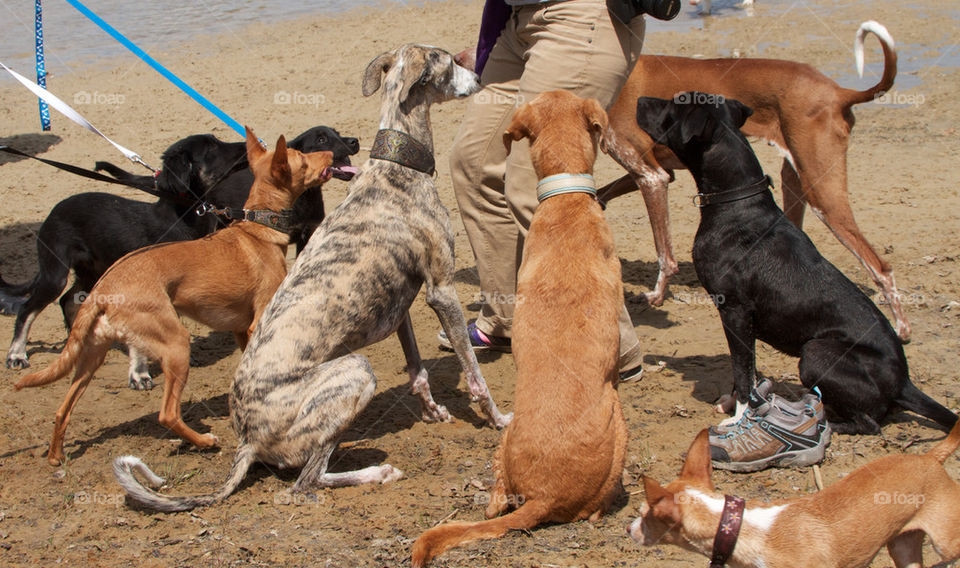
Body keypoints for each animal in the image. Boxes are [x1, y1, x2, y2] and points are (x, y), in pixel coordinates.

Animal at [12, 129, 338, 466]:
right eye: (302, 159)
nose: (331, 155)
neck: (256, 229)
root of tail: (104, 289)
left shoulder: (240, 329)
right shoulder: (257, 321)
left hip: (91, 356)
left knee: (63, 408)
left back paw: (56, 455)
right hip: (176, 343)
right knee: (167, 414)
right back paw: (204, 441)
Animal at [112, 44, 510, 512]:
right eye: (447, 60)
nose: (480, 76)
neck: (396, 169)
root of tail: (246, 439)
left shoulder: (403, 307)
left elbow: (418, 371)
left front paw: (434, 411)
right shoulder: (441, 290)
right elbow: (475, 375)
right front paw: (498, 418)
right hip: (356, 370)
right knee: (306, 482)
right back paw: (376, 472)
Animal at [632, 94, 956, 434]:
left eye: (674, 104)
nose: (640, 98)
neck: (736, 202)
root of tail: (903, 382)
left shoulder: (735, 310)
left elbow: (743, 370)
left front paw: (740, 415)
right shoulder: (742, 321)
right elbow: (748, 368)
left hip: (815, 352)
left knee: (869, 423)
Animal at [632, 426, 960, 568]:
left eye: (643, 514)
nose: (627, 528)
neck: (740, 530)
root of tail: (930, 457)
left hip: (945, 543)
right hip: (902, 547)